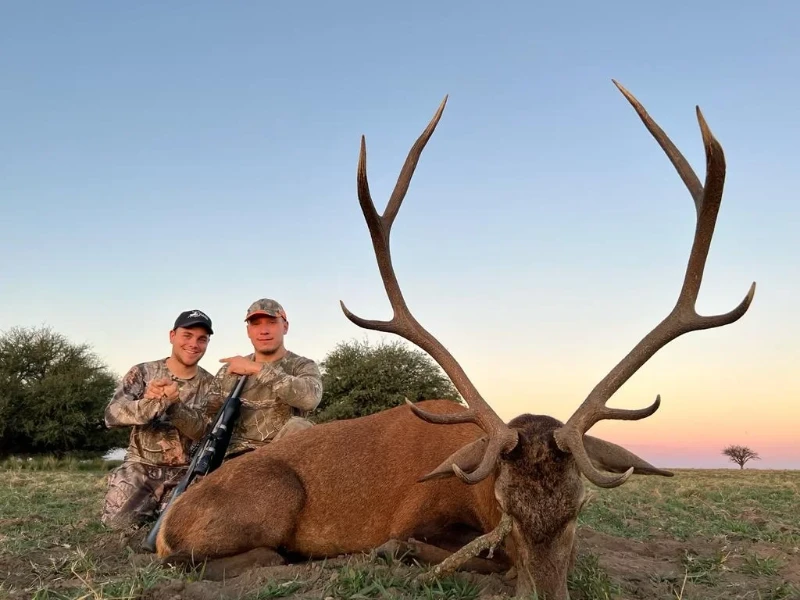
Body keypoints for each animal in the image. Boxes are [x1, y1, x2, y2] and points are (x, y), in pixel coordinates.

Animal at [154, 80, 755, 600]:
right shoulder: (417, 513)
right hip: (273, 494)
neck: (471, 487)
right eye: (506, 507)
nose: (546, 592)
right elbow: (435, 548)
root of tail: (163, 523)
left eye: (579, 509)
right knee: (194, 558)